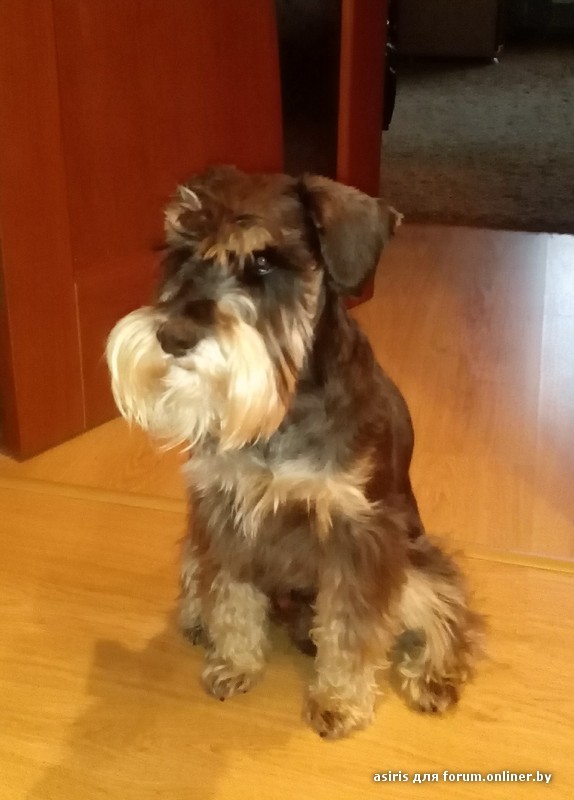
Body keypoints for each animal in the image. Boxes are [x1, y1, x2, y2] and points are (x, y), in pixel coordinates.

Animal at [106, 165, 483, 739]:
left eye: (264, 262)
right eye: (183, 252)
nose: (174, 335)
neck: (282, 411)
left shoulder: (361, 536)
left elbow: (349, 630)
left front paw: (339, 702)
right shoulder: (223, 511)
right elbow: (232, 594)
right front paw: (234, 661)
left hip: (415, 562)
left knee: (447, 606)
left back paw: (433, 676)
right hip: (197, 541)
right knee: (200, 574)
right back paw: (197, 617)